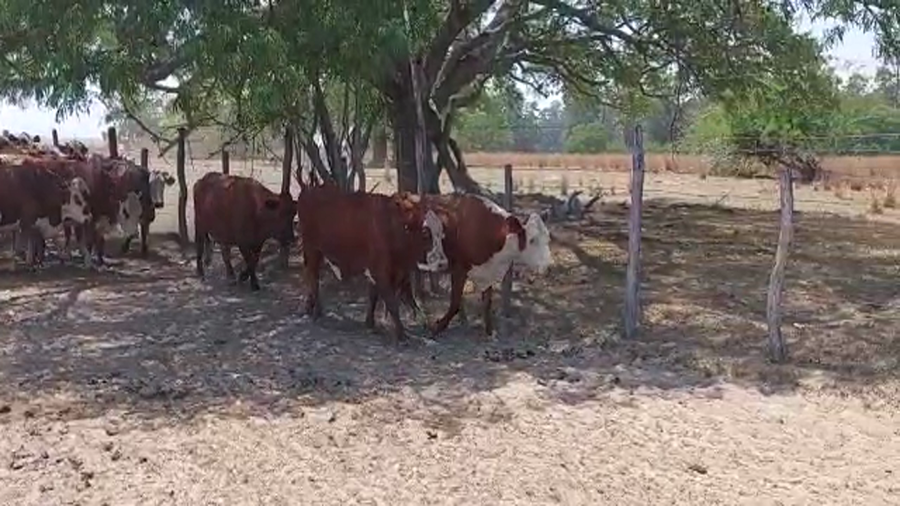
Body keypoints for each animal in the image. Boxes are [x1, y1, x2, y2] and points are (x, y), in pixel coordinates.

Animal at [295, 181, 448, 344]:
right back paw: (316, 312)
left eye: (441, 233)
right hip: (312, 249)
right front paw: (401, 334)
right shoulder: (380, 271)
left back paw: (313, 308)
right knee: (313, 277)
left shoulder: (394, 272)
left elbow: (380, 296)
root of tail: (308, 189)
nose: (443, 263)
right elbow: (392, 302)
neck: (393, 225)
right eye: (425, 233)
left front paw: (370, 323)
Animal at [394, 192, 552, 337]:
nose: (548, 266)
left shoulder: (487, 272)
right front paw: (438, 327)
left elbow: (487, 302)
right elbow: (455, 302)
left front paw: (489, 331)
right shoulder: (459, 268)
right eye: (532, 240)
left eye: (547, 238)